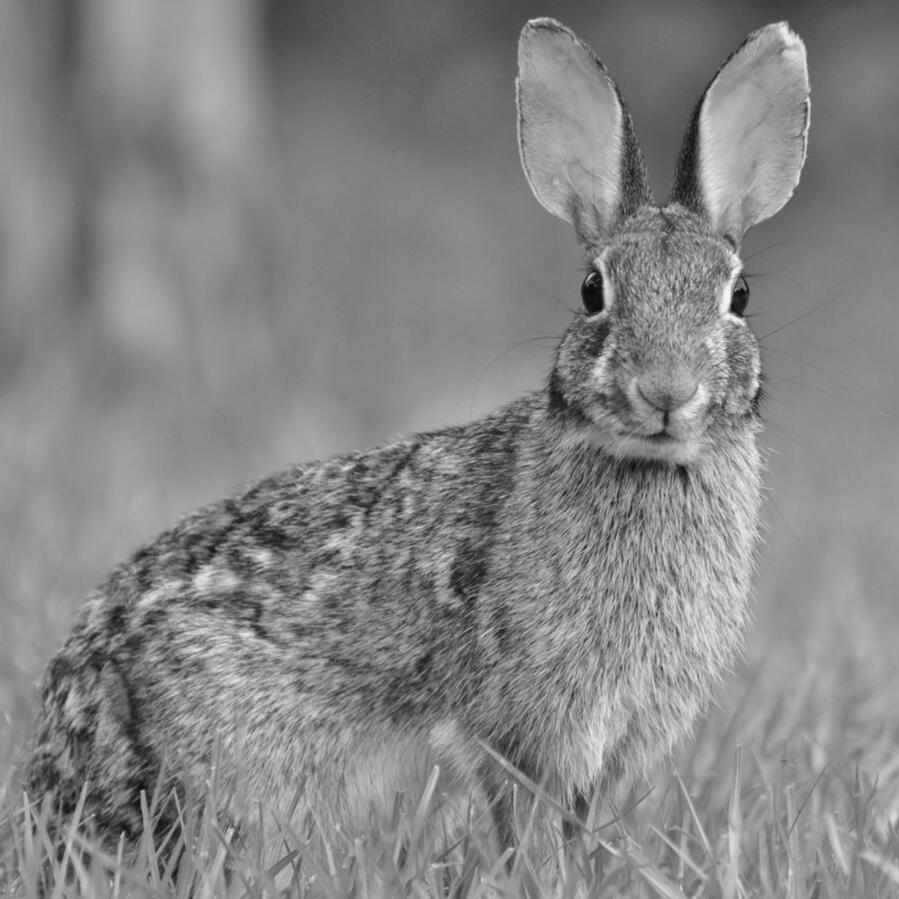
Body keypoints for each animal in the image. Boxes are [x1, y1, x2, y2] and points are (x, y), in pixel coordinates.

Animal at [23, 17, 809, 859]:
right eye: (592, 290)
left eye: (738, 295)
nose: (666, 389)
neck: (647, 464)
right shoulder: (519, 721)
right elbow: (517, 812)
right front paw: (530, 870)